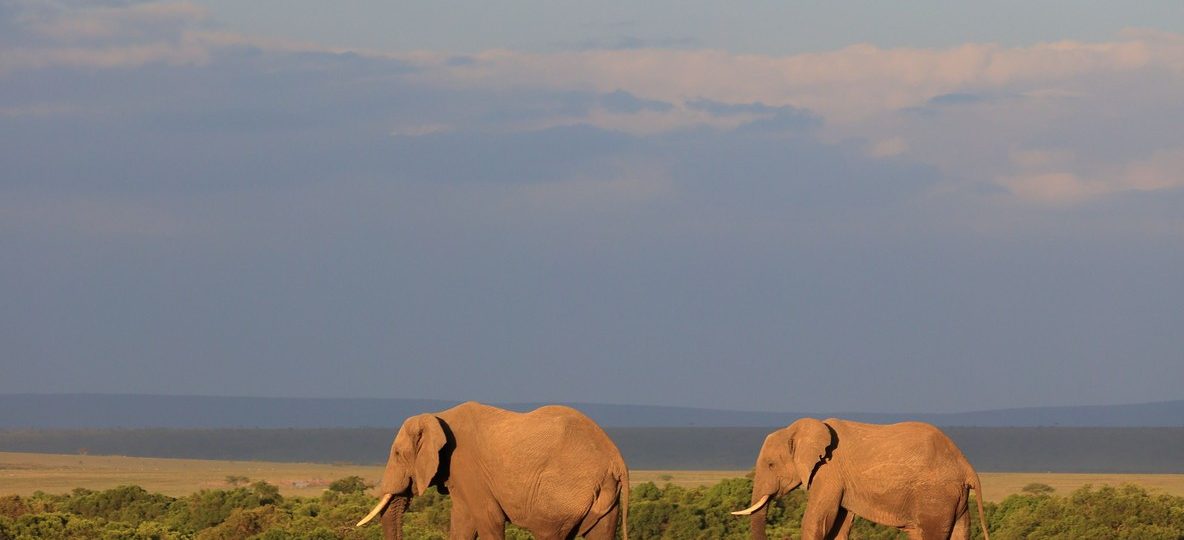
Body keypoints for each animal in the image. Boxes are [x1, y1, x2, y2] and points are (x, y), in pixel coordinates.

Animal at [357, 401, 630, 540]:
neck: (437, 415)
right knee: (600, 533)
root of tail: (616, 458)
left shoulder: (466, 466)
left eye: (397, 454)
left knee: (548, 532)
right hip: (604, 497)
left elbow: (489, 519)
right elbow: (463, 522)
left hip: (563, 492)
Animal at [733, 418, 989, 540]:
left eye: (770, 465)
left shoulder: (829, 472)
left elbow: (817, 521)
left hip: (935, 496)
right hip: (954, 499)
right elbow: (839, 524)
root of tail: (966, 466)